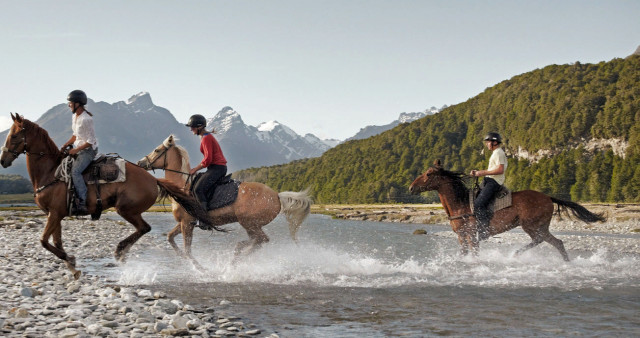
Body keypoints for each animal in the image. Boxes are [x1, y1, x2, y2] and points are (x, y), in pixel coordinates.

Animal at [1, 115, 214, 278]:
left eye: (14, 135)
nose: (3, 160)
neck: (51, 172)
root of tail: (153, 179)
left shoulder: (54, 214)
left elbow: (44, 241)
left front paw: (71, 260)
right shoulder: (55, 215)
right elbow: (56, 242)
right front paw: (72, 266)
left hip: (126, 209)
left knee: (144, 228)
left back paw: (120, 251)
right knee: (143, 229)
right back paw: (122, 252)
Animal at [137, 135, 312, 262]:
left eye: (156, 150)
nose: (140, 162)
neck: (182, 186)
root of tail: (276, 195)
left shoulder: (187, 223)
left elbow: (188, 251)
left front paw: (202, 270)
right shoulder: (184, 223)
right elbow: (170, 238)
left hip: (249, 222)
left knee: (261, 240)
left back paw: (236, 255)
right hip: (251, 225)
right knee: (258, 241)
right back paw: (237, 256)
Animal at [410, 160, 604, 260]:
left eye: (428, 174)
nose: (411, 188)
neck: (461, 204)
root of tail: (548, 198)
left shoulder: (472, 235)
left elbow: (474, 255)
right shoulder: (462, 236)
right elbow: (464, 254)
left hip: (532, 226)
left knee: (542, 240)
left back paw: (516, 254)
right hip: (539, 227)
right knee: (557, 243)